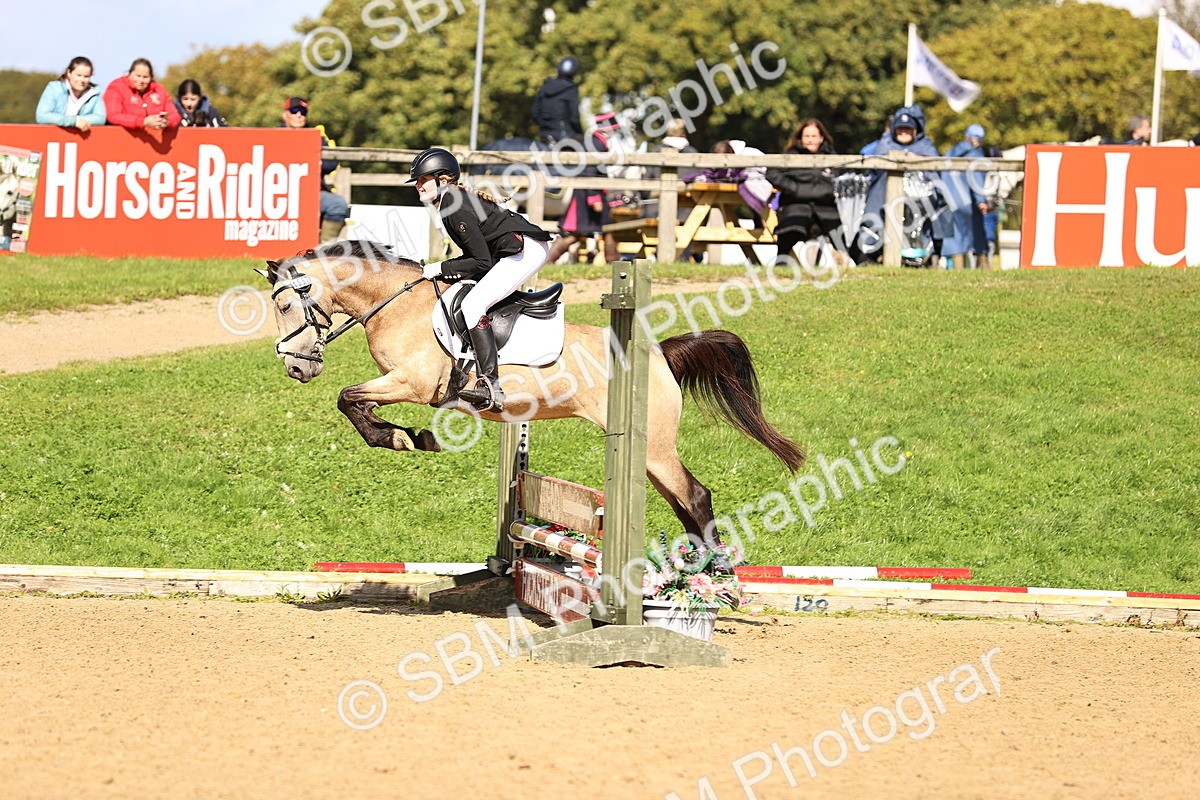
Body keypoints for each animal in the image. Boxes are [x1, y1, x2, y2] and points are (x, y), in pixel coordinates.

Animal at [256, 241, 804, 542]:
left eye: (283, 306)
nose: (296, 367)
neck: (395, 304)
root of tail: (659, 353)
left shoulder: (412, 383)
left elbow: (348, 397)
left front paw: (403, 438)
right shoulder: (400, 385)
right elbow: (353, 400)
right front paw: (406, 436)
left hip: (655, 448)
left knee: (696, 496)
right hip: (646, 453)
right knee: (683, 503)